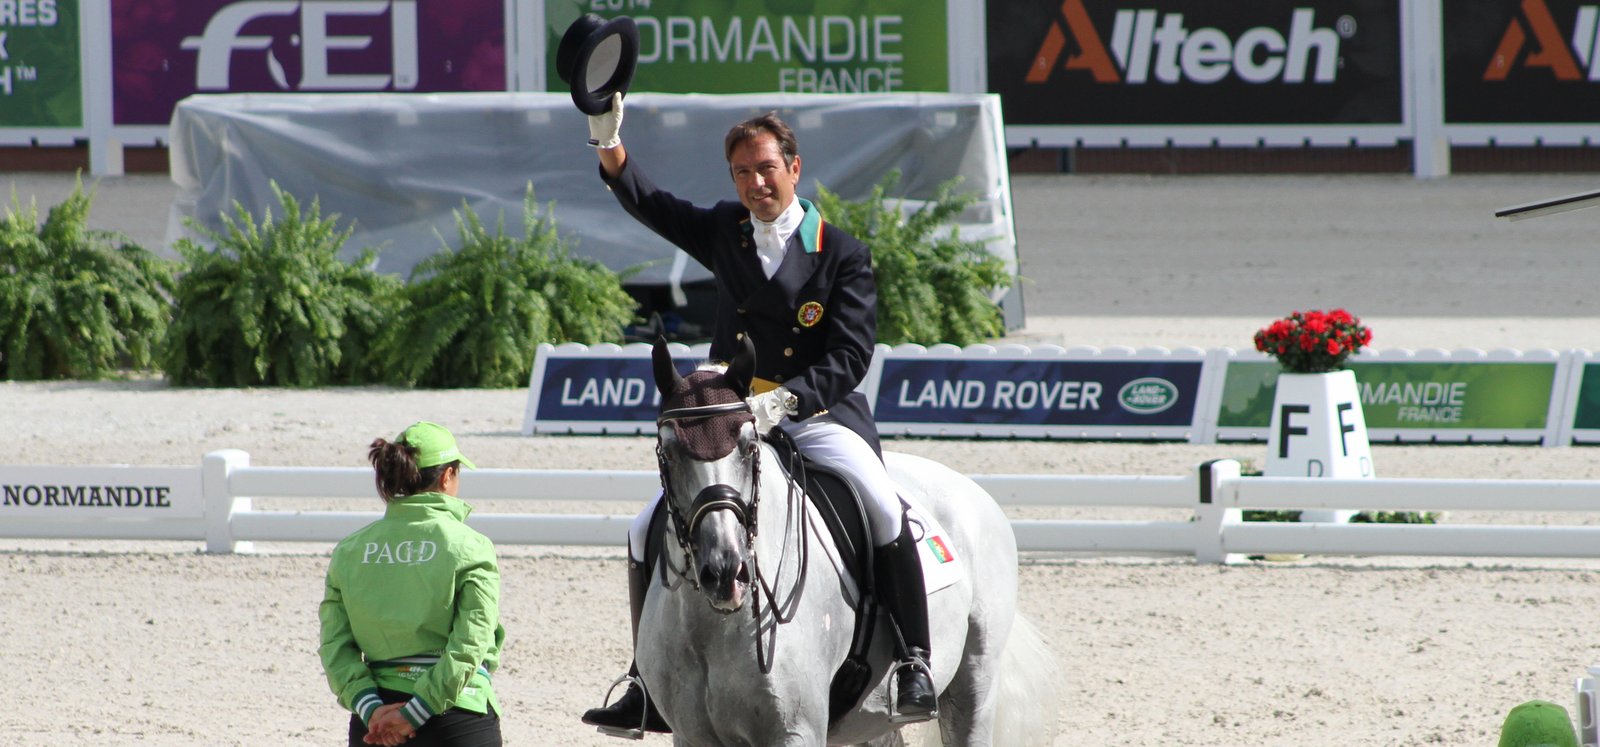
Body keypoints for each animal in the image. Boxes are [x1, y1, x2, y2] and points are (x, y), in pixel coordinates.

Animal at [630, 340, 1056, 747]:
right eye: (668, 453)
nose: (724, 573)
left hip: (975, 678)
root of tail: (972, 489)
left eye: (750, 447)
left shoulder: (796, 731)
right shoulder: (692, 735)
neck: (714, 627)